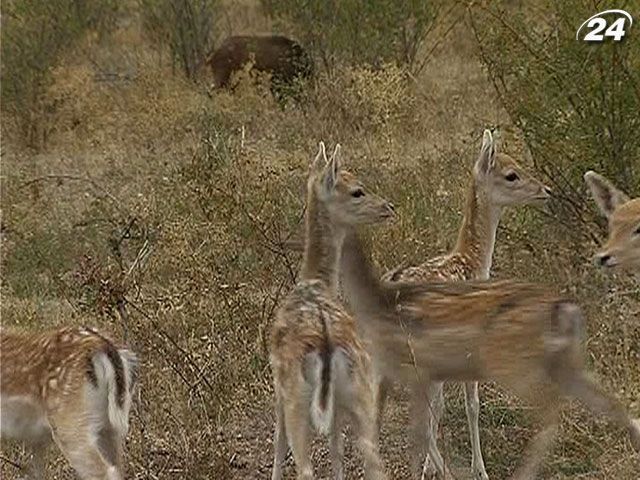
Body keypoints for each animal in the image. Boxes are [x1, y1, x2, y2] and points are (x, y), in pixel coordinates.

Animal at [1, 326, 138, 480]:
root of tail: (100, 344)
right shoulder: (36, 440)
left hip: (71, 425)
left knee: (106, 471)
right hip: (109, 429)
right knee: (118, 467)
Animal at [268, 142, 396, 480]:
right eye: (357, 191)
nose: (388, 207)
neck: (314, 280)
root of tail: (327, 344)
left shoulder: (277, 386)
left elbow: (278, 444)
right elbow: (337, 449)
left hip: (298, 398)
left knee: (304, 467)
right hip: (359, 391)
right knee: (374, 461)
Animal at [340, 231, 640, 480]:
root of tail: (566, 310)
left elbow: (439, 417)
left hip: (522, 370)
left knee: (554, 413)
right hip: (557, 366)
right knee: (598, 404)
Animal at [380, 128, 552, 480]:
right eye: (511, 174)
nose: (546, 191)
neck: (473, 263)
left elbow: (442, 407)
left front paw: (429, 468)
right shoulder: (473, 344)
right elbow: (471, 405)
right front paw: (480, 469)